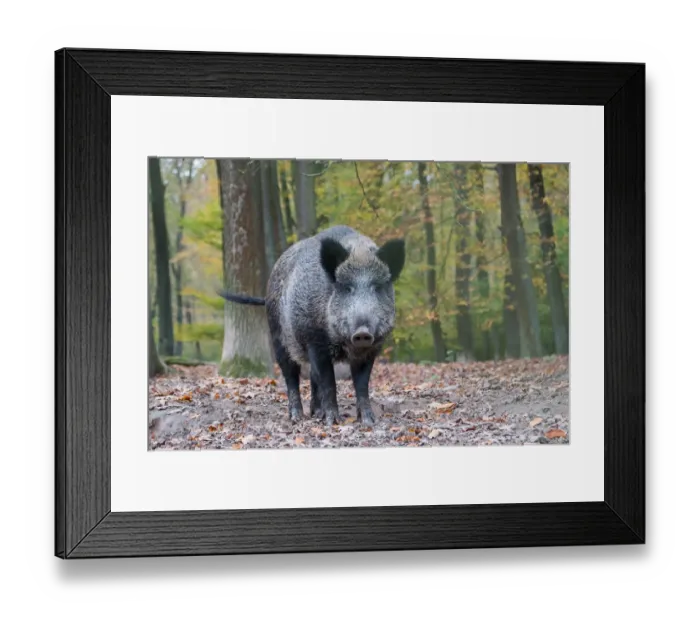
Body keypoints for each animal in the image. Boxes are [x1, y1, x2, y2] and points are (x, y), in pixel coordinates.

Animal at [220, 225, 405, 427]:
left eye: (377, 287)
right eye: (346, 288)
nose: (362, 332)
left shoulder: (371, 350)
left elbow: (362, 384)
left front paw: (369, 421)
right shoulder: (315, 342)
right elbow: (329, 382)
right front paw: (333, 422)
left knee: (312, 376)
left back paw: (316, 413)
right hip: (279, 337)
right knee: (291, 376)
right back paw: (297, 416)